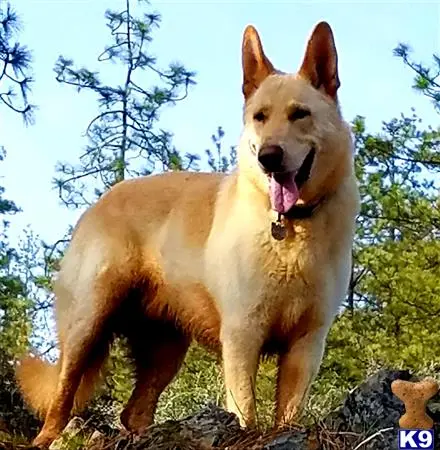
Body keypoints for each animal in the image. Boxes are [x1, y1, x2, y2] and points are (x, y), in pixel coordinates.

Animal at [17, 20, 360, 446]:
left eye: (301, 114)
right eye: (260, 117)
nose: (269, 157)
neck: (291, 227)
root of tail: (102, 200)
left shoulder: (307, 344)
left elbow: (288, 413)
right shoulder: (242, 334)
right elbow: (245, 408)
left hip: (165, 349)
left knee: (134, 410)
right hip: (88, 322)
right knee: (62, 397)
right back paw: (49, 436)